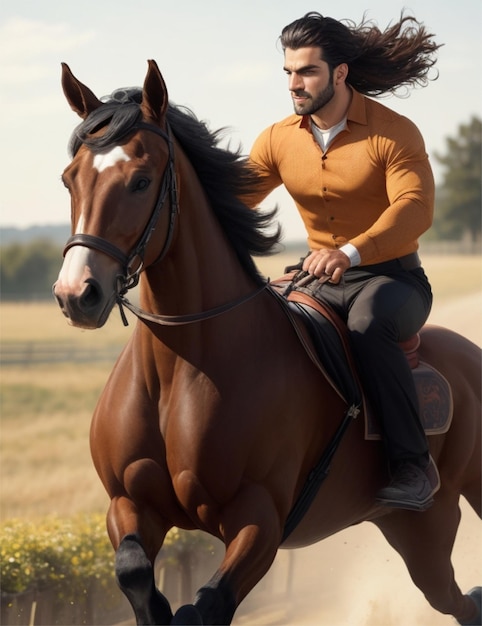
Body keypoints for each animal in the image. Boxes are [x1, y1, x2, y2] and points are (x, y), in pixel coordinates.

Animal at [54, 59, 480, 624]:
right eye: (70, 179)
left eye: (141, 181)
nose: (77, 293)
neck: (182, 368)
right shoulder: (128, 505)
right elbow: (135, 574)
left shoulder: (258, 520)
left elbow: (205, 606)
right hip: (411, 527)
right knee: (454, 596)